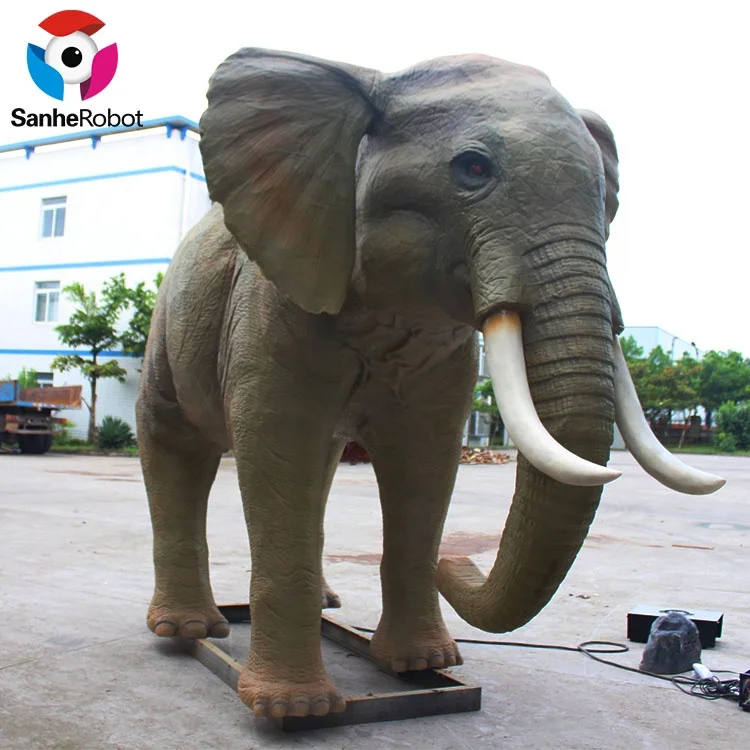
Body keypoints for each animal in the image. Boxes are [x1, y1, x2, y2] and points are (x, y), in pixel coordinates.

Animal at [136, 48, 725, 720]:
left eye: (606, 198)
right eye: (472, 168)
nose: (459, 561)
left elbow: (425, 461)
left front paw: (424, 667)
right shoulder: (272, 304)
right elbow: (276, 443)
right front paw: (296, 712)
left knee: (323, 465)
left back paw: (326, 610)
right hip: (168, 324)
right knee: (177, 443)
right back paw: (190, 632)